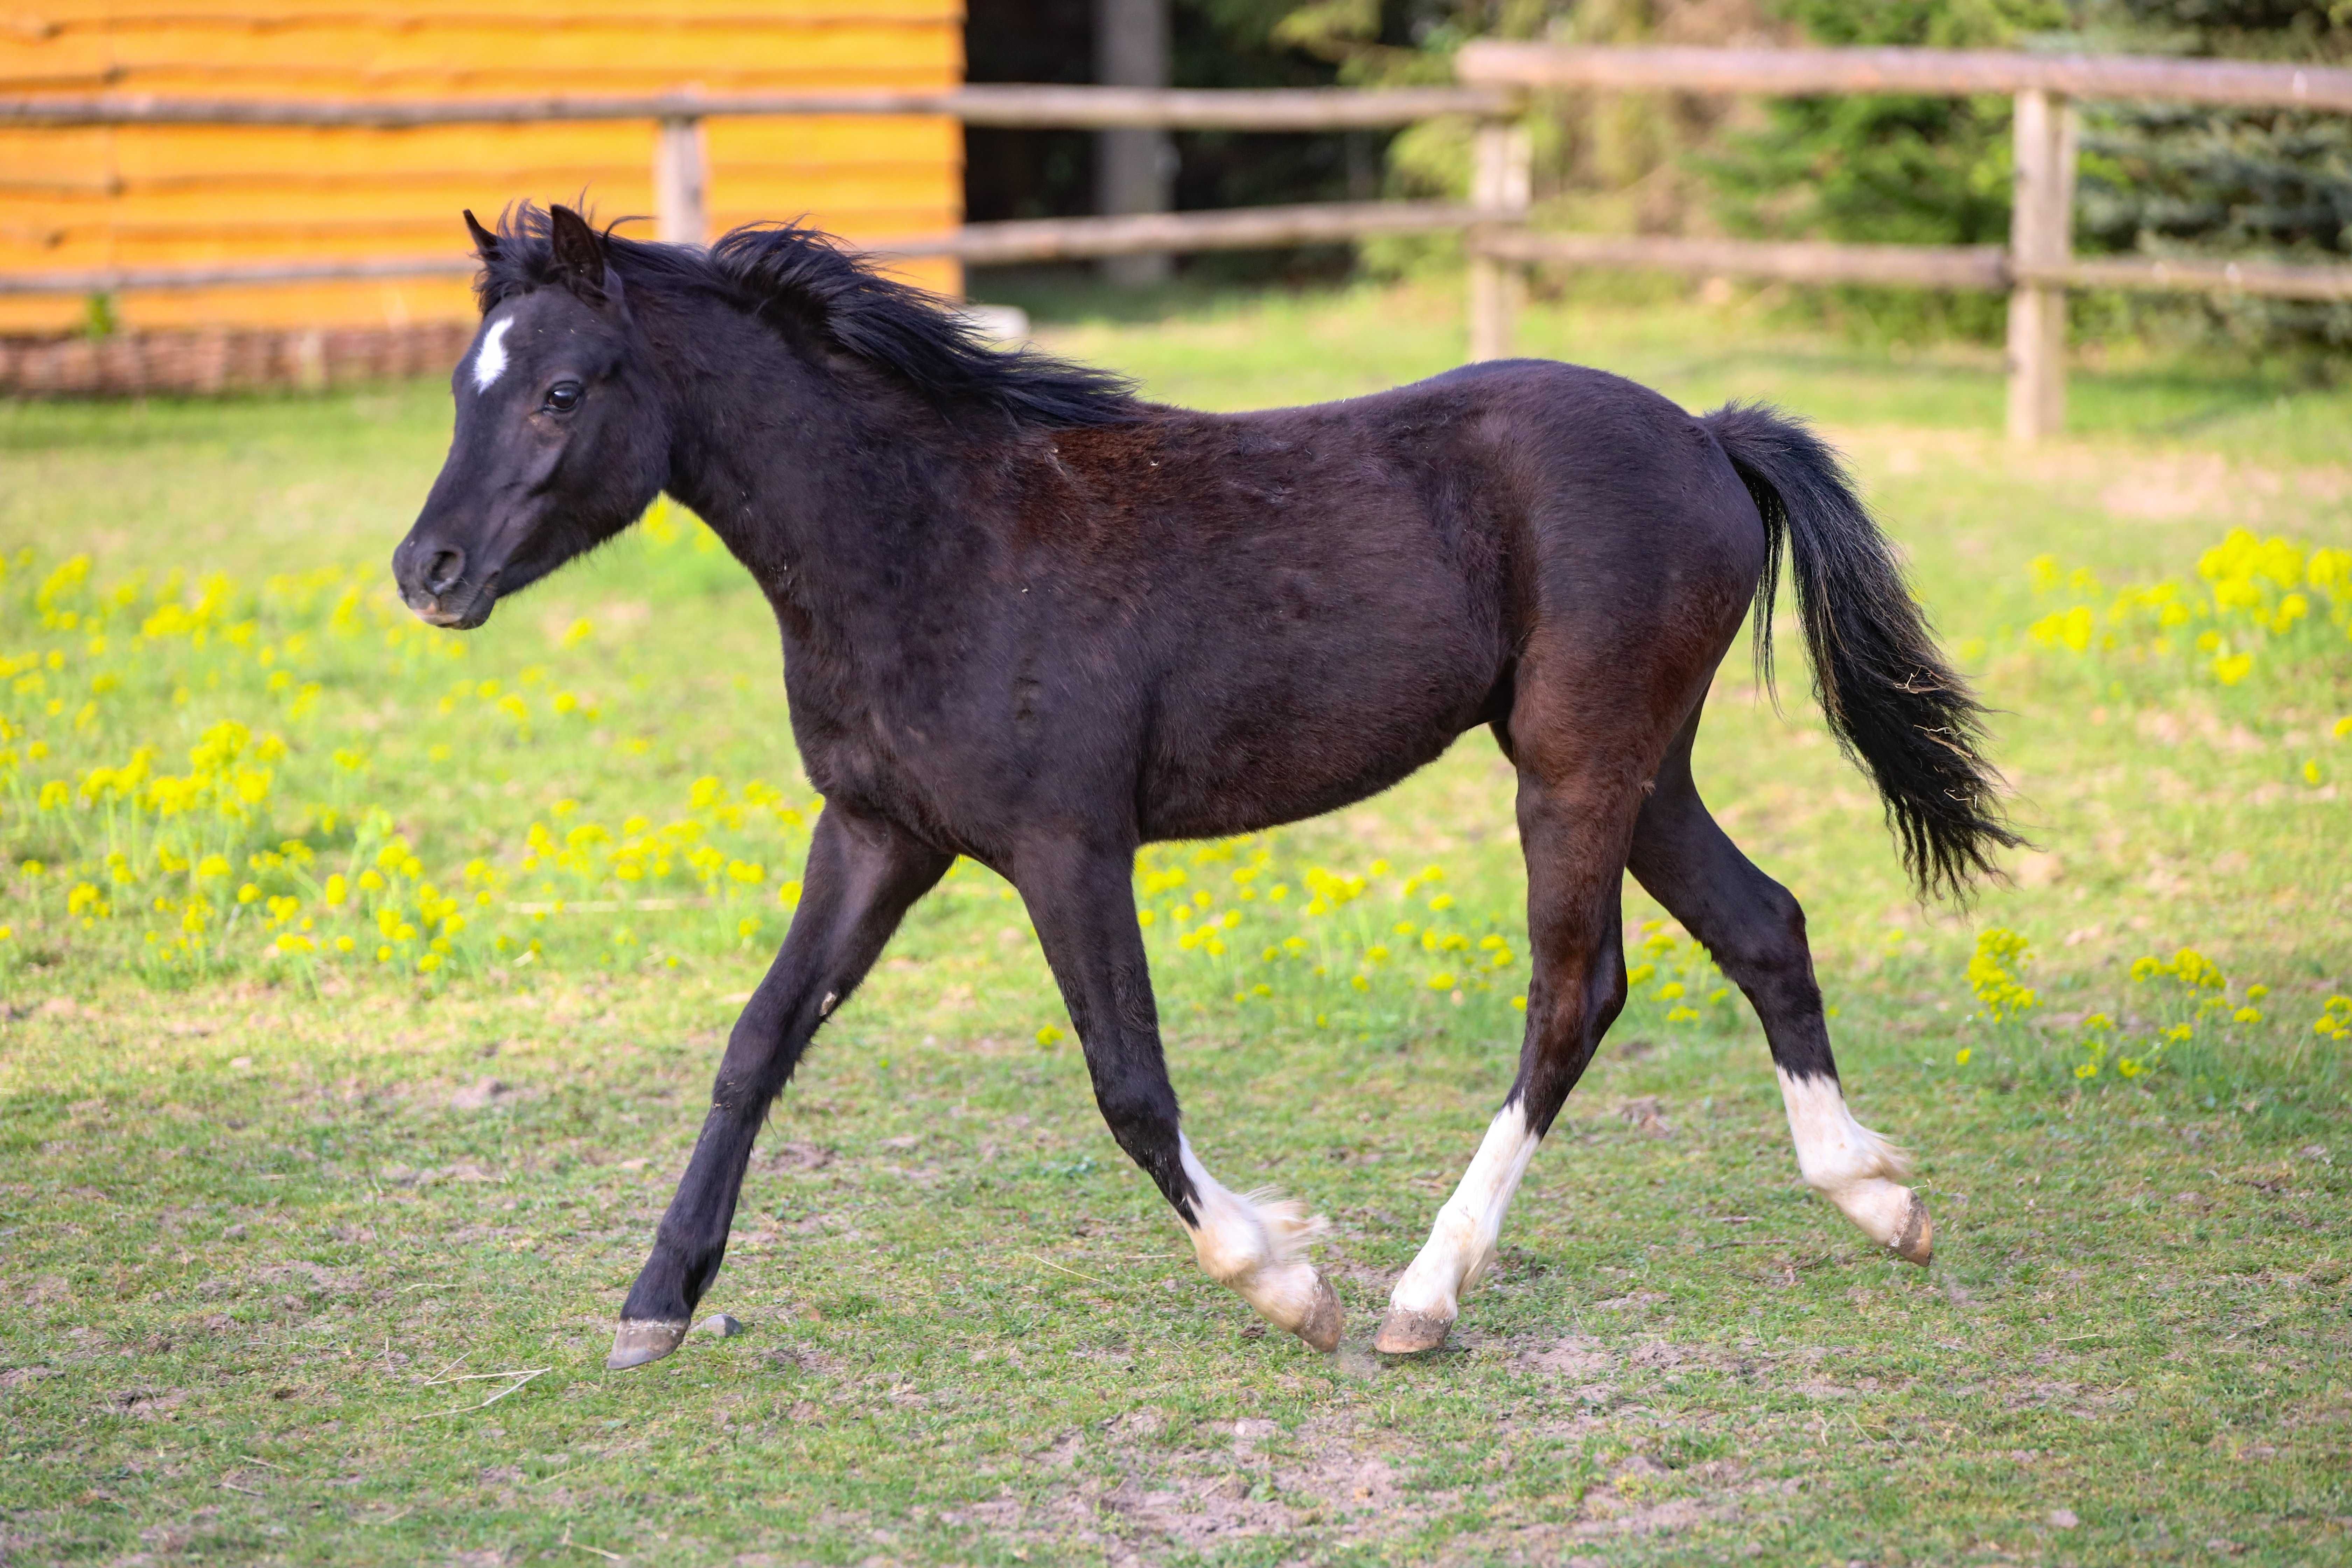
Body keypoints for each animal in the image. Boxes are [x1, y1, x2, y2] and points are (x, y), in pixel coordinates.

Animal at [395, 202, 2013, 1363]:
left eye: (559, 389)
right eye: (465, 388)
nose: (428, 571)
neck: (929, 538)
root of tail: (1706, 435)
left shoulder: (1065, 844)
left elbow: (1126, 1079)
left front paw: (1282, 1279)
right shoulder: (876, 833)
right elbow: (757, 1041)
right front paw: (654, 1301)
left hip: (1573, 770)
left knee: (1576, 991)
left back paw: (1423, 1295)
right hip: (1640, 768)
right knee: (1763, 924)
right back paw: (1878, 1199)